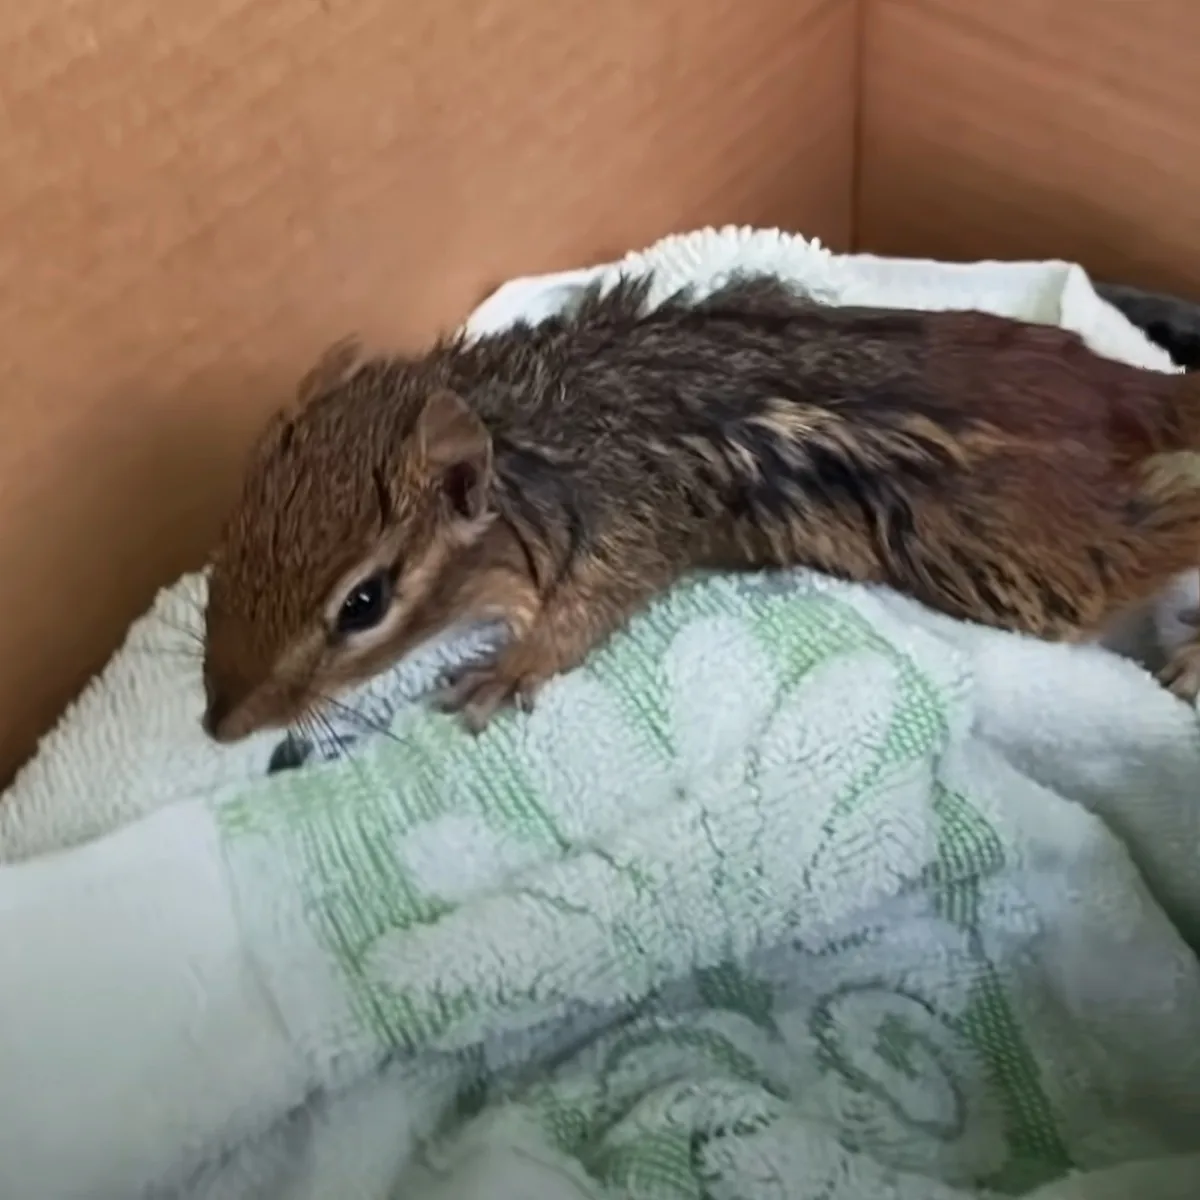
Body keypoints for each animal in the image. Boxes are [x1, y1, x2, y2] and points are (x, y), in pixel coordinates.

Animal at [201, 273, 1200, 741]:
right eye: (228, 542)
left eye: (362, 605)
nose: (217, 726)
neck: (521, 422)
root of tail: (1132, 394)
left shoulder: (629, 517)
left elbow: (589, 608)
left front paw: (511, 667)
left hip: (1023, 566)